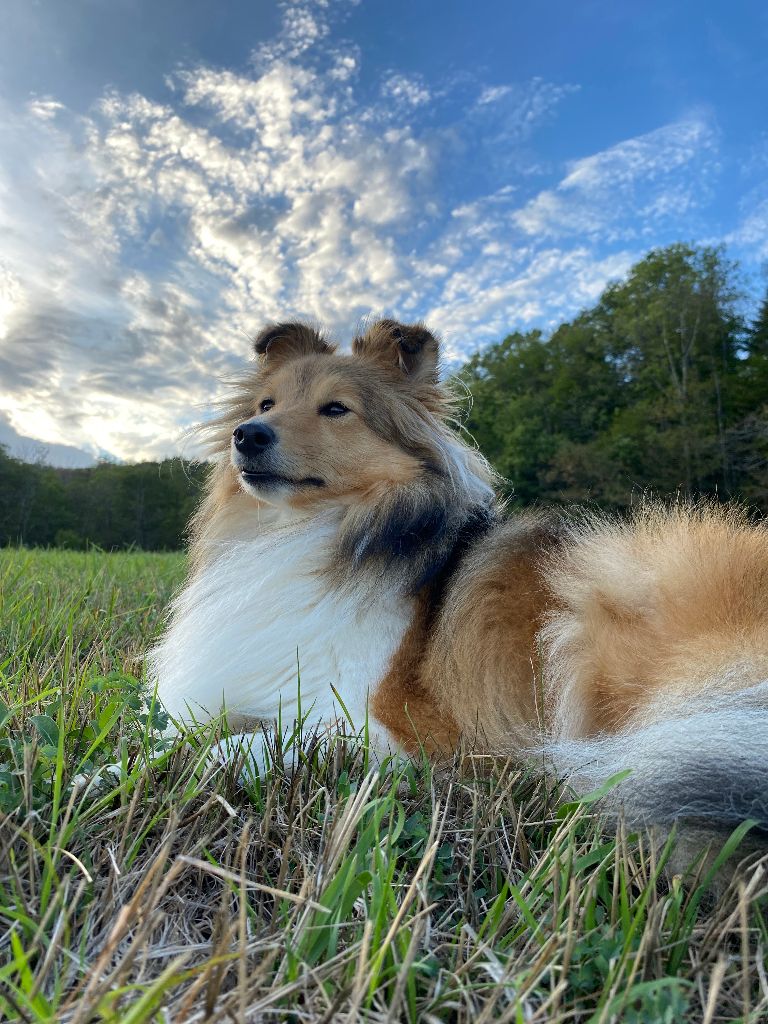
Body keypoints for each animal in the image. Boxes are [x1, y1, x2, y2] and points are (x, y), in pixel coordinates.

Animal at [150, 317, 768, 856]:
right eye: (266, 405)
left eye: (336, 409)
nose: (247, 435)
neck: (318, 531)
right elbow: (172, 733)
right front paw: (138, 756)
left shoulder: (395, 727)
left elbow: (249, 744)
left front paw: (193, 762)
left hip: (610, 594)